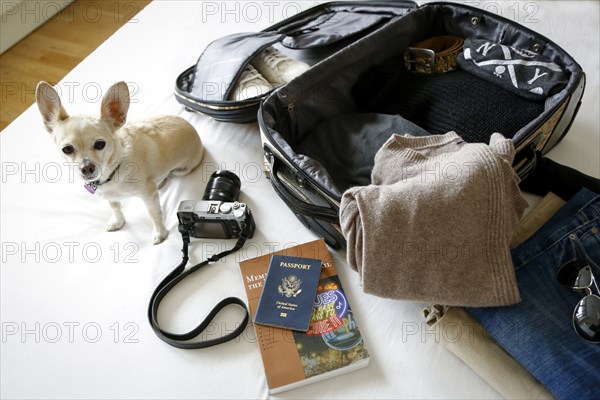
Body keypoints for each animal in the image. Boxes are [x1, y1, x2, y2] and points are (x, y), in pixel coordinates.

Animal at [35, 80, 204, 244]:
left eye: (100, 144)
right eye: (67, 149)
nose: (87, 168)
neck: (112, 171)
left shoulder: (148, 196)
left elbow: (154, 213)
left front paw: (160, 233)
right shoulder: (111, 197)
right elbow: (115, 207)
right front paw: (118, 221)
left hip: (183, 169)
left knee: (171, 173)